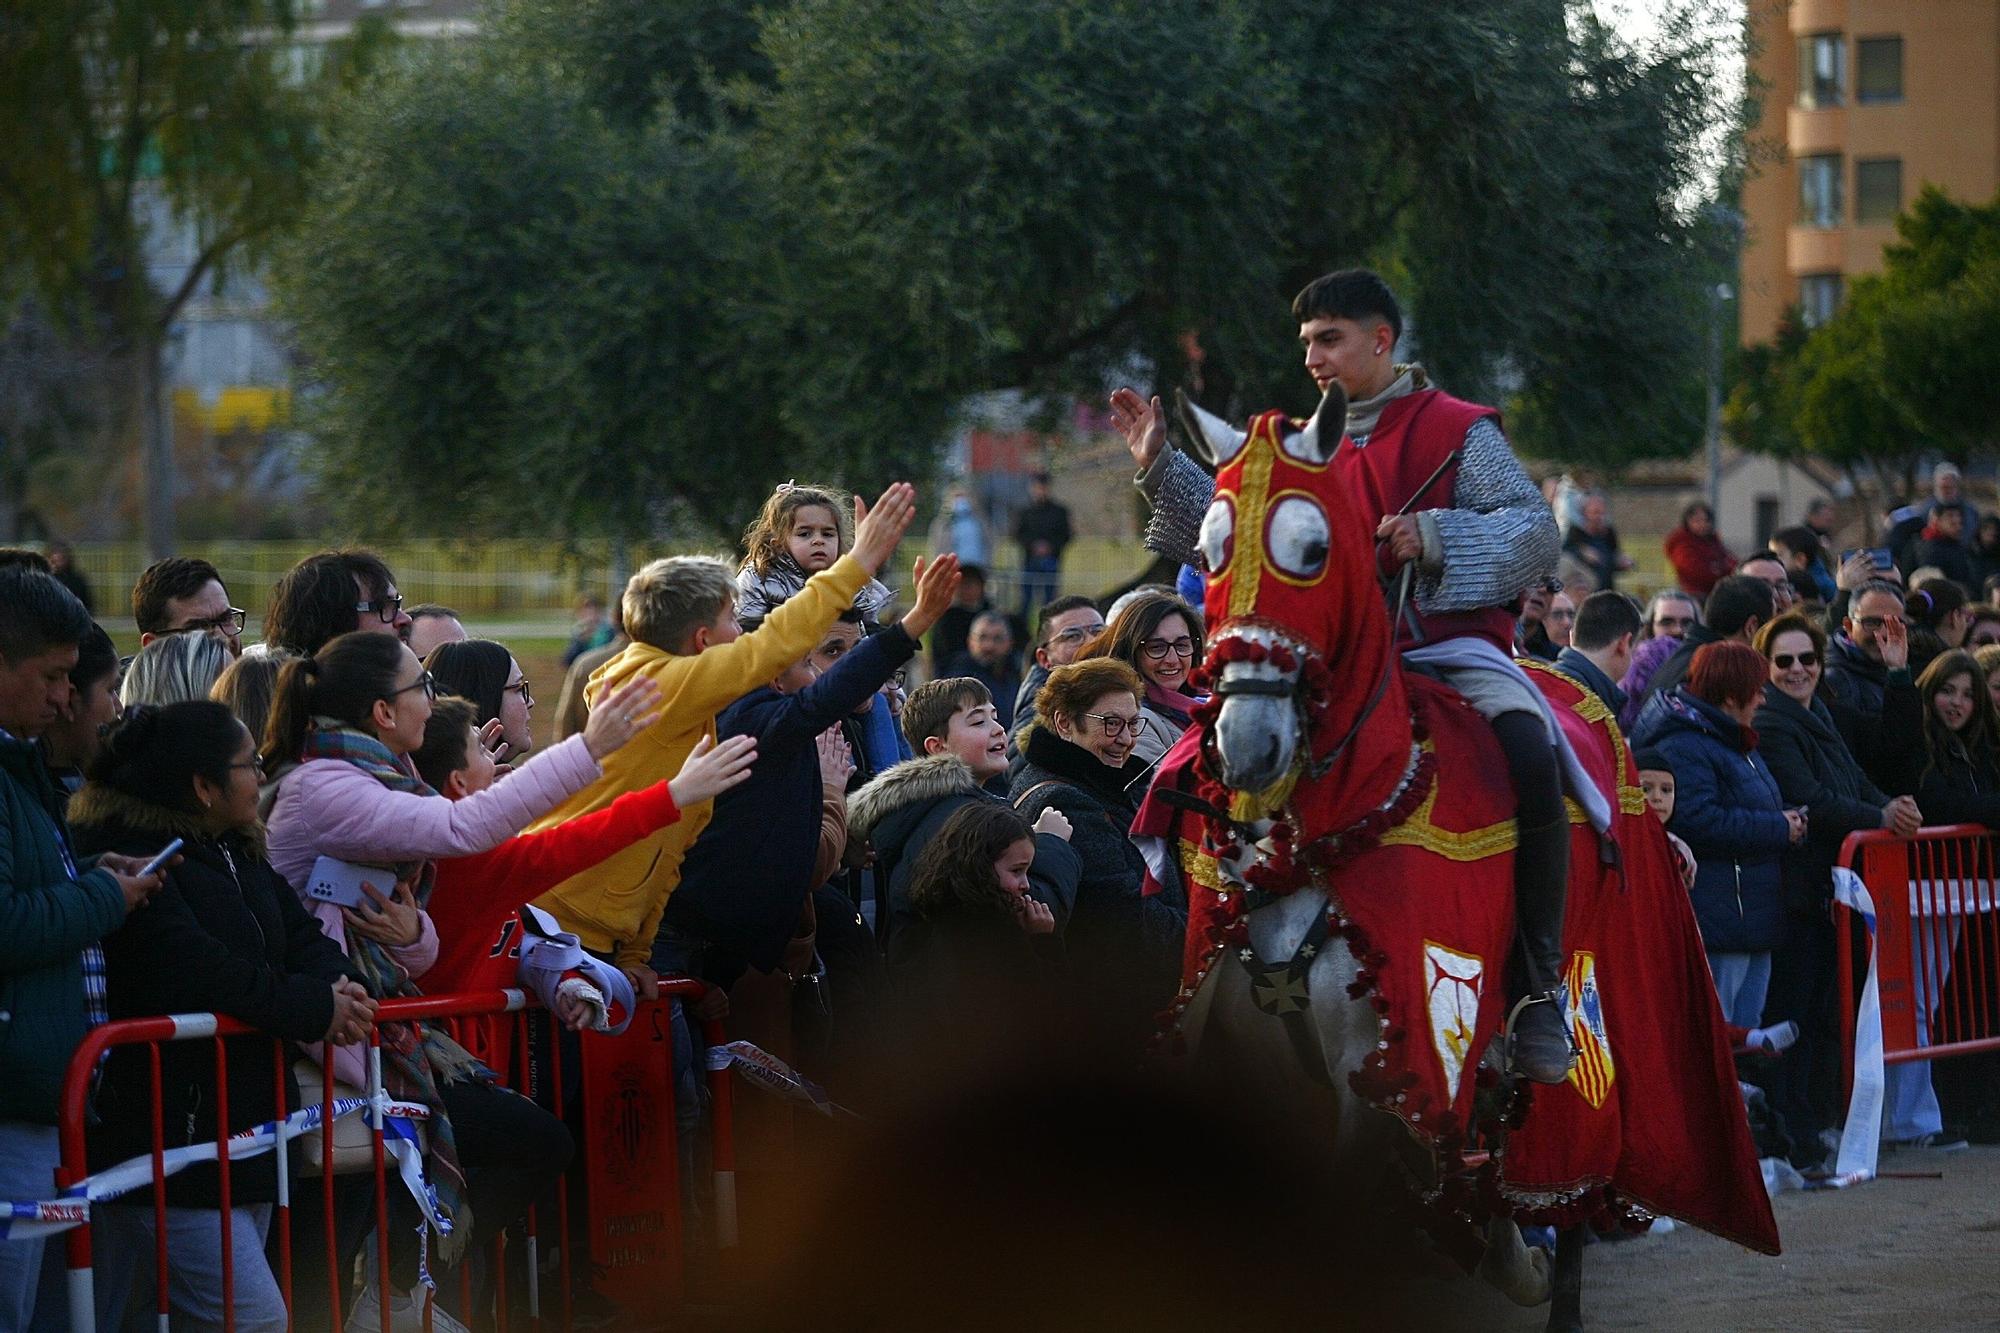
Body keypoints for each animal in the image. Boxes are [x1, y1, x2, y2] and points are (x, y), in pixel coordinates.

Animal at [1136, 386, 1776, 1328]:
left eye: (1314, 549)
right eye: (1211, 549)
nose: (1248, 743)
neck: (1339, 822)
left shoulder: (1379, 1078)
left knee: (1558, 1181)